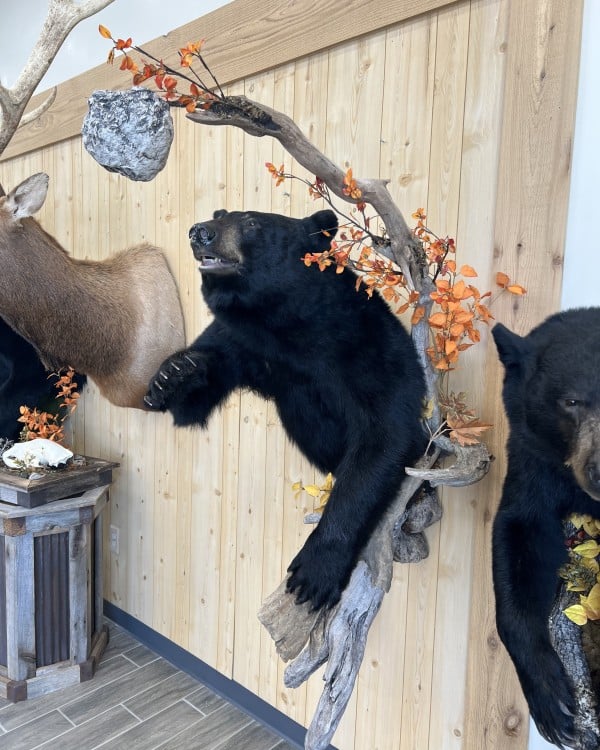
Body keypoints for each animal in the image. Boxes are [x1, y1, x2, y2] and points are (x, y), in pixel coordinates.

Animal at [145, 208, 427, 610]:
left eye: (250, 222)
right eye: (219, 213)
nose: (200, 232)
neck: (284, 323)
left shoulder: (364, 343)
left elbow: (385, 433)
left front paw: (314, 572)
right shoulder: (244, 340)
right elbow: (196, 399)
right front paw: (172, 374)